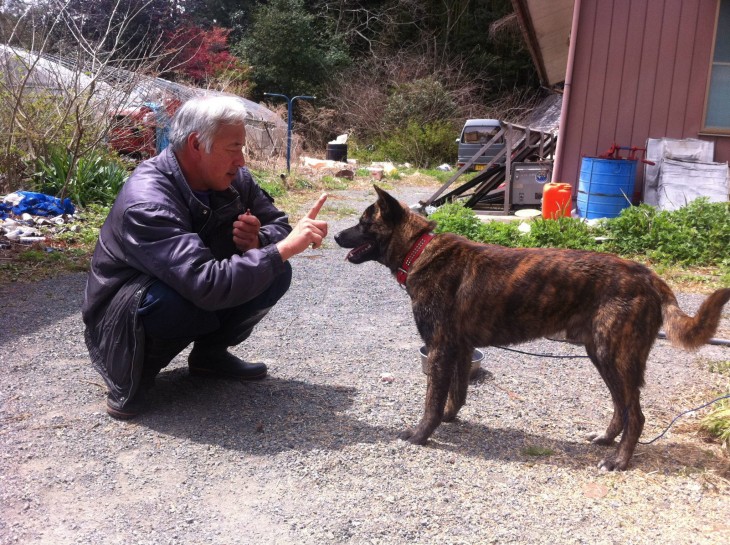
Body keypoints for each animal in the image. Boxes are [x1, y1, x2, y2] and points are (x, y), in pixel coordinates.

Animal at [334, 185, 728, 470]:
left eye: (364, 223)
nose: (337, 236)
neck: (419, 250)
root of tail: (649, 276)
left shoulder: (440, 349)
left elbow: (432, 401)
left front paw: (421, 435)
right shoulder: (459, 350)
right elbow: (456, 394)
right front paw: (449, 419)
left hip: (613, 357)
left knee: (638, 416)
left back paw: (619, 460)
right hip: (604, 358)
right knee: (623, 409)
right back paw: (606, 439)